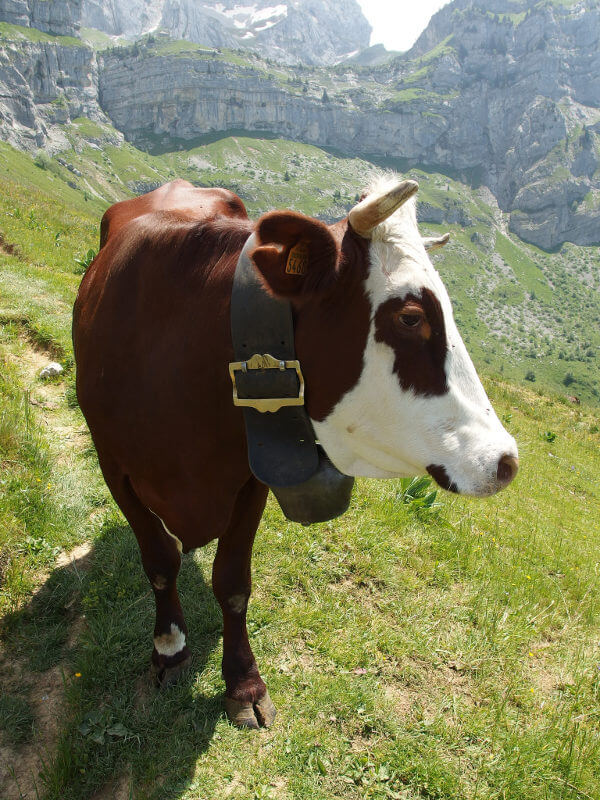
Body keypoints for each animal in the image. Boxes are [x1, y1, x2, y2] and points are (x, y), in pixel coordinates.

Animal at [72, 175, 516, 732]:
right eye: (411, 317)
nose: (505, 460)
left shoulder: (255, 477)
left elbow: (232, 583)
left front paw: (243, 684)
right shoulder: (114, 467)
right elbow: (158, 561)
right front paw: (169, 650)